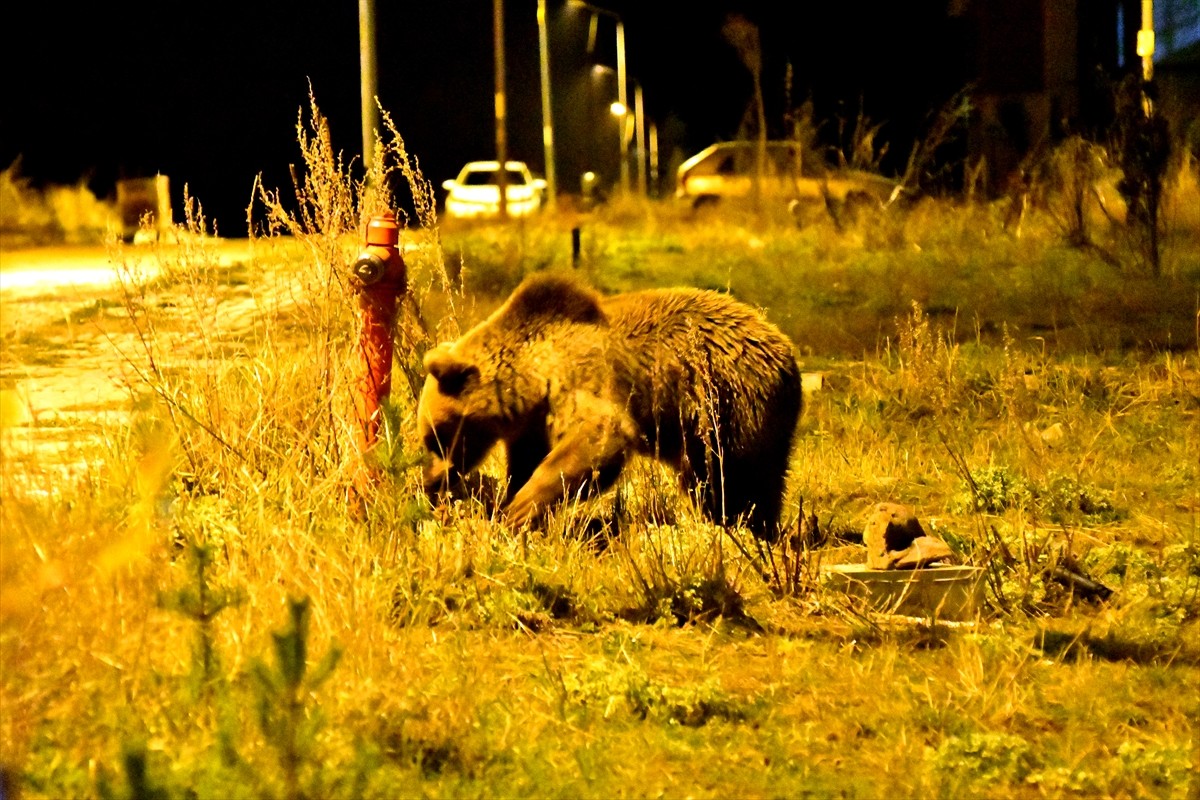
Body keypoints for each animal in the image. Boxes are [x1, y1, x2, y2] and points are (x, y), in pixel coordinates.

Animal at [417, 272, 801, 542]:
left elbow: (597, 440)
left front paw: (519, 510)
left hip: (731, 403)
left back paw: (748, 528)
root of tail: (786, 347)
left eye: (437, 436)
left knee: (738, 476)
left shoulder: (581, 381)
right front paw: (508, 506)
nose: (431, 483)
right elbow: (526, 461)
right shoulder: (532, 424)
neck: (532, 378)